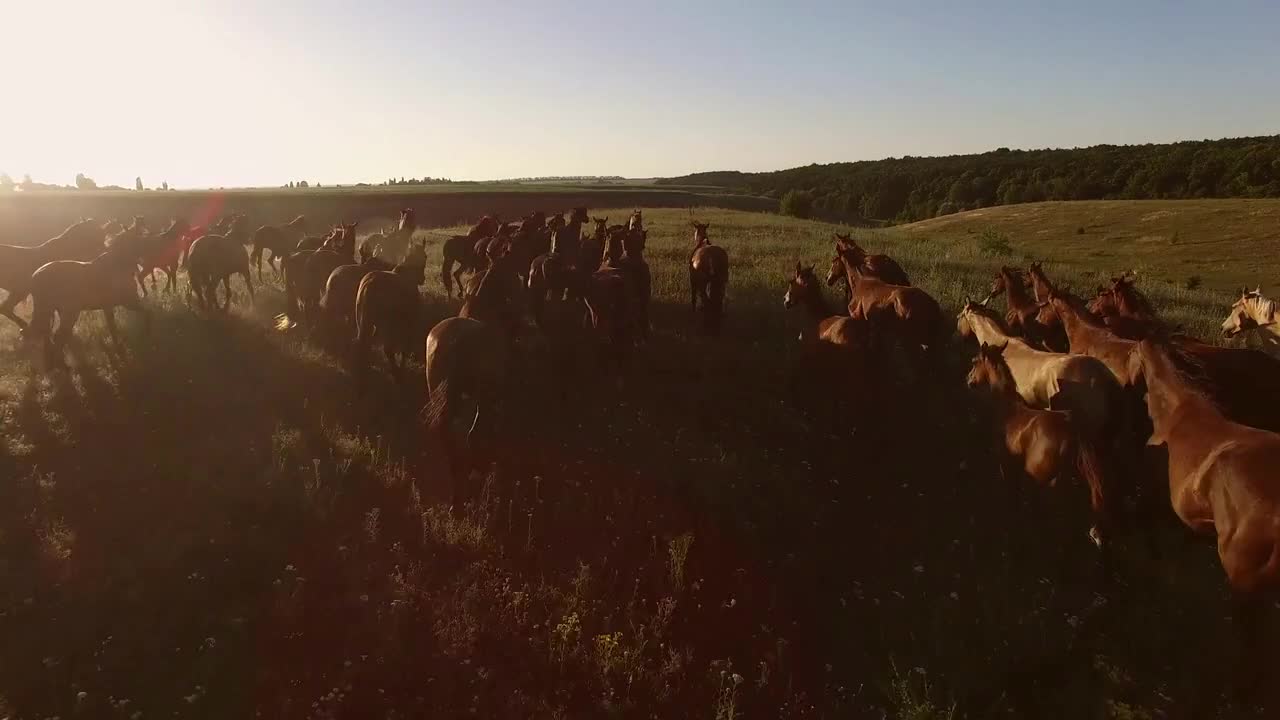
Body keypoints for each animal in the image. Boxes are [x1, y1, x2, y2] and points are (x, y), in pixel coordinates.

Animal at [25, 219, 151, 366]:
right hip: (69, 313)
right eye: (142, 236)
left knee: (50, 336)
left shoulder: (110, 307)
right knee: (58, 336)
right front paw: (145, 335)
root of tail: (35, 276)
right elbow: (147, 313)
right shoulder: (128, 302)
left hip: (55, 312)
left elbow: (114, 329)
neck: (116, 265)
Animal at [353, 239, 427, 376]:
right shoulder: (409, 322)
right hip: (385, 326)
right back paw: (395, 371)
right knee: (387, 349)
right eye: (425, 256)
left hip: (363, 323)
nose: (422, 279)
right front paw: (402, 367)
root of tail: (370, 283)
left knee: (363, 344)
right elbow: (405, 347)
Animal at [967, 340, 1121, 556]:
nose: (968, 380)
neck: (1008, 410)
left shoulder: (1007, 465)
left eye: (974, 361)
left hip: (1047, 481)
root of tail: (1074, 429)